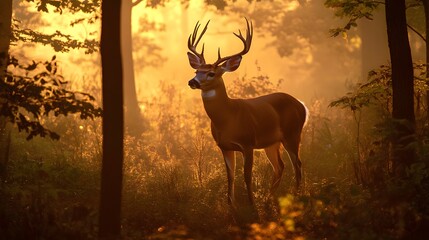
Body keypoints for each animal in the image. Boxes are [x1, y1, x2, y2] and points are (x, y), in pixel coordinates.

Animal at [186, 18, 306, 206]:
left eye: (211, 73)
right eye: (196, 70)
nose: (192, 82)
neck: (227, 118)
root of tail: (301, 104)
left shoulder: (248, 143)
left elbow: (247, 176)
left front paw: (251, 204)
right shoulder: (224, 146)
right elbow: (230, 177)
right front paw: (231, 206)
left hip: (292, 133)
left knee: (297, 164)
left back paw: (294, 196)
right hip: (272, 142)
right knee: (280, 166)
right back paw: (268, 199)